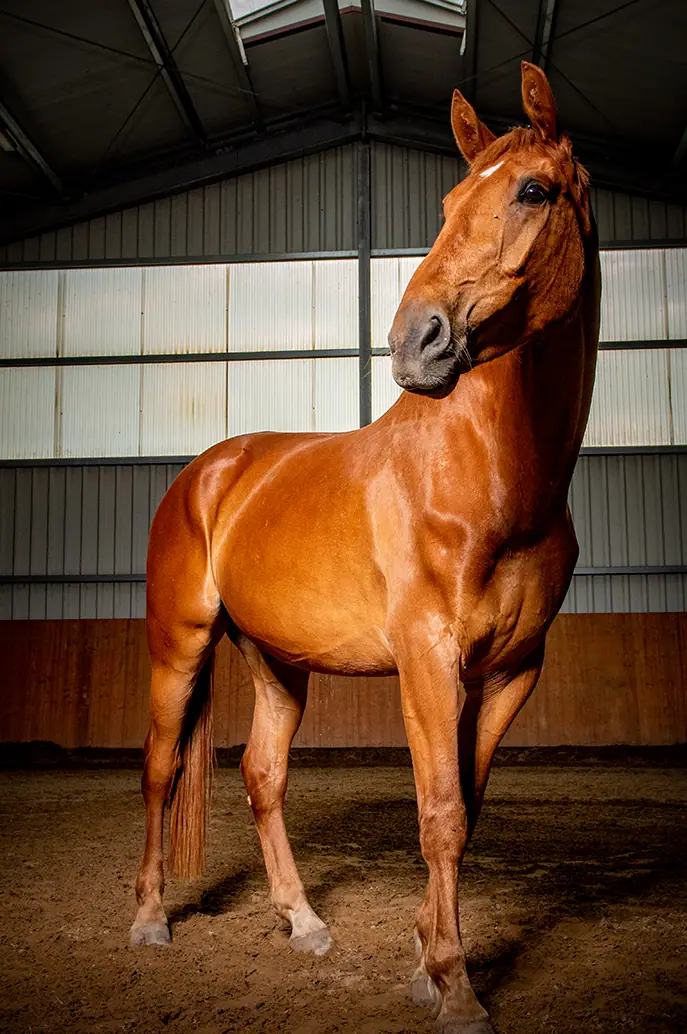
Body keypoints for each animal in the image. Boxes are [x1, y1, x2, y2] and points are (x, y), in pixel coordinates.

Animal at [130, 61, 599, 1034]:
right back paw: (151, 918)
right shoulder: (426, 661)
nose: (414, 342)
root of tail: (210, 472)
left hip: (276, 661)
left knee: (263, 776)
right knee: (159, 768)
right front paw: (455, 986)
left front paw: (425, 961)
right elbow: (440, 812)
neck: (488, 470)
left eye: (532, 191)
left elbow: (466, 806)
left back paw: (304, 922)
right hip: (179, 646)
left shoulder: (510, 672)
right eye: (450, 198)